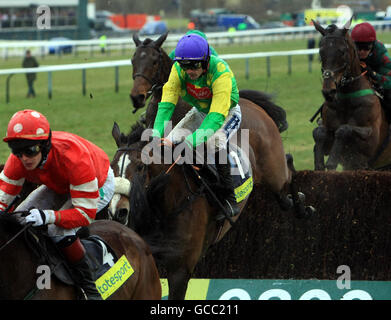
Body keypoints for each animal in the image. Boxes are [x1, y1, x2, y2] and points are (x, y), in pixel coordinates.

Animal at [312, 18, 391, 170]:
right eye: (321, 52)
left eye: (342, 52)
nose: (328, 91)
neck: (347, 99)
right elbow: (319, 132)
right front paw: (319, 164)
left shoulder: (370, 141)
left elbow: (344, 129)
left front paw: (331, 162)